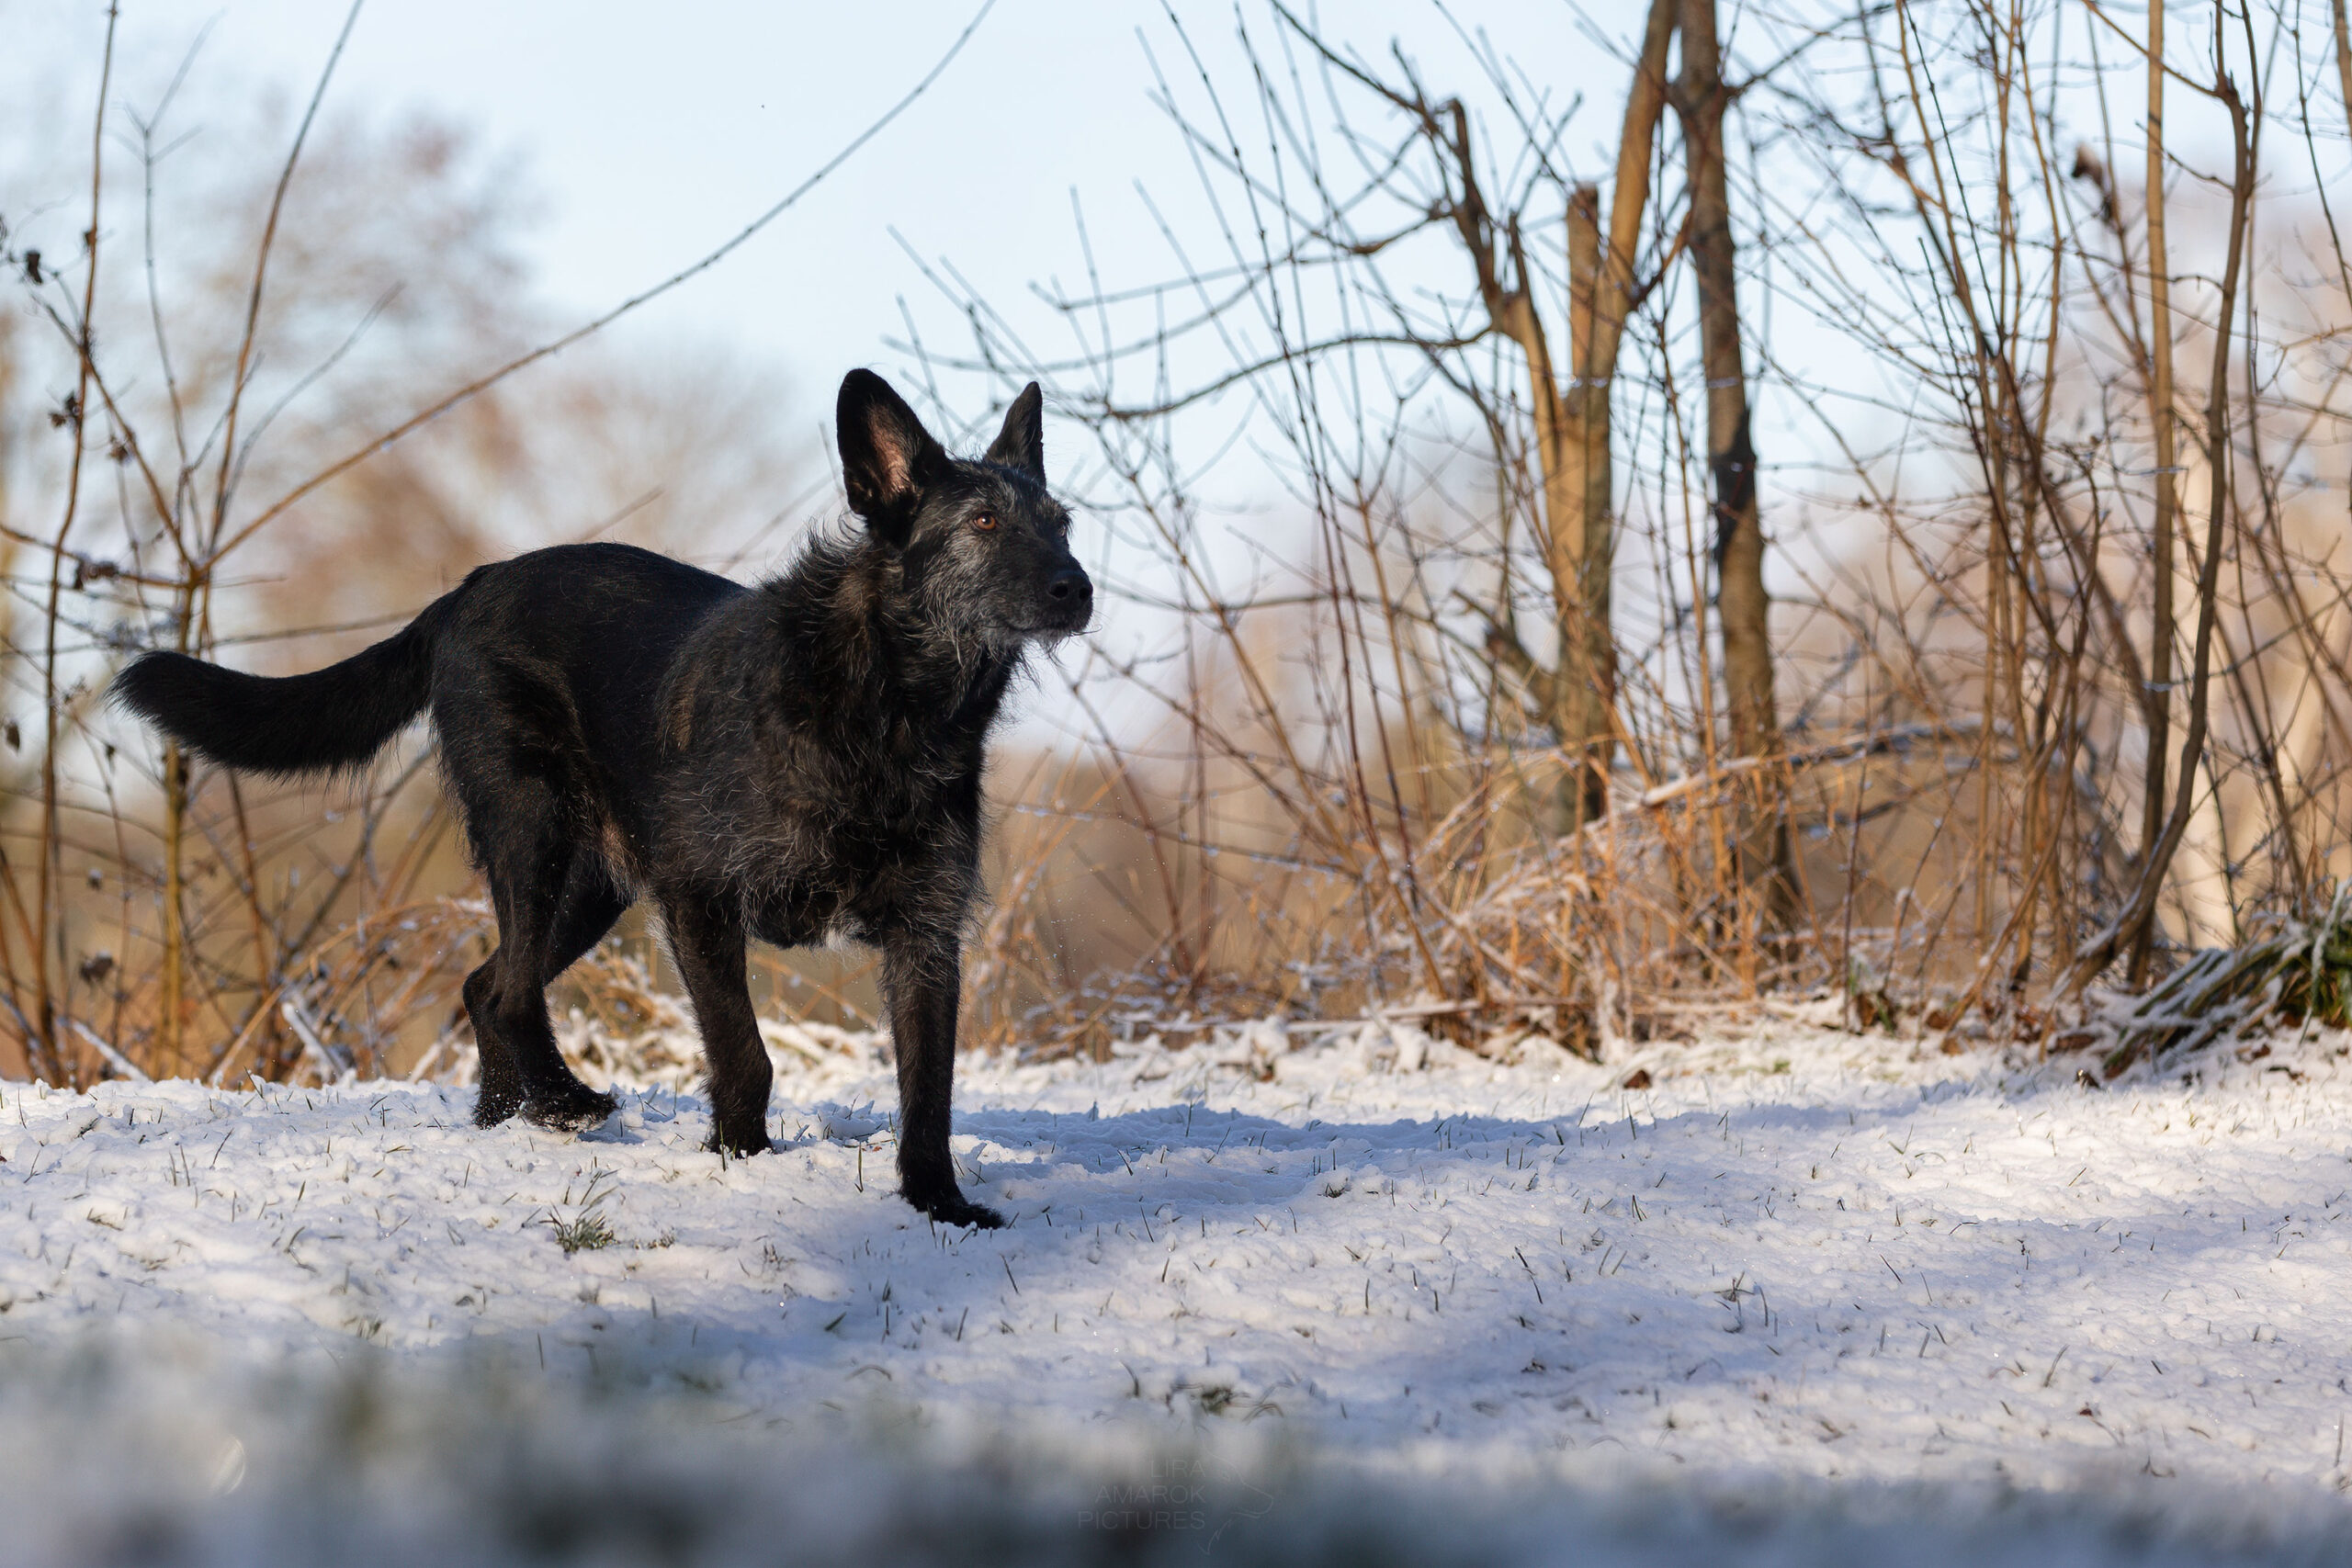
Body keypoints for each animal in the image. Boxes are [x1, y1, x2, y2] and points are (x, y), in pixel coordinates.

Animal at [114, 373, 1086, 1232]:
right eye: (983, 522)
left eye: (1064, 524)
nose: (1076, 589)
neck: (887, 707)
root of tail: (466, 589)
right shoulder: (699, 901)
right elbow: (746, 1055)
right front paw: (743, 1162)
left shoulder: (926, 932)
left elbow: (929, 1091)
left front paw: (940, 1206)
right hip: (535, 836)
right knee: (508, 990)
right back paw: (563, 1101)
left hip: (589, 891)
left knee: (485, 984)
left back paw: (508, 1123)